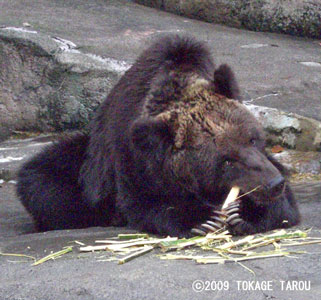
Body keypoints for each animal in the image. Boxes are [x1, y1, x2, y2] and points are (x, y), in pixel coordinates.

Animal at [17, 35, 298, 237]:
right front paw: (201, 219)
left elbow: (285, 207)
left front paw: (246, 214)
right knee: (43, 180)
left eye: (253, 139)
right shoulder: (133, 159)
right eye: (226, 160)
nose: (273, 183)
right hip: (86, 171)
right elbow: (145, 204)